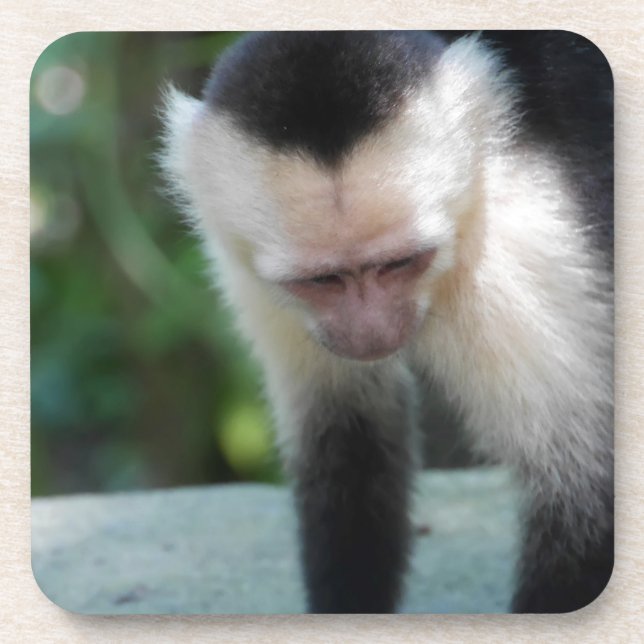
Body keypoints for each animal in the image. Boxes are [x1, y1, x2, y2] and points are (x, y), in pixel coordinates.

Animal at [160, 31, 613, 614]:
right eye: (323, 280)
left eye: (400, 263)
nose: (371, 331)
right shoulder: (246, 264)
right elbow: (346, 435)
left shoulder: (524, 238)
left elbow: (586, 496)